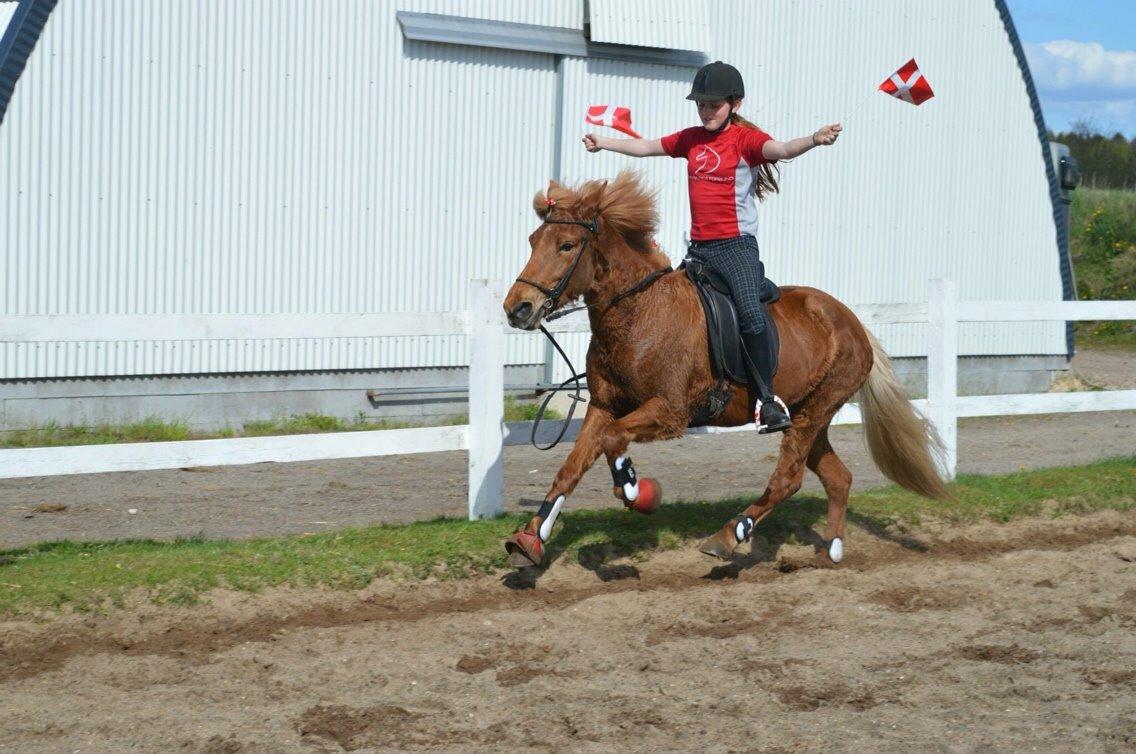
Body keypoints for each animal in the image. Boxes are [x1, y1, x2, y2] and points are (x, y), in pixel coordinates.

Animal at [502, 170, 945, 567]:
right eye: (533, 241)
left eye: (566, 245)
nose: (517, 308)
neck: (638, 312)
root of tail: (854, 323)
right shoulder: (603, 406)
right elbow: (569, 469)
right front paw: (530, 539)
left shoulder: (670, 412)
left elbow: (614, 442)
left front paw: (633, 489)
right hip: (809, 414)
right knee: (838, 478)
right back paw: (829, 551)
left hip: (815, 412)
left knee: (788, 479)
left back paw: (730, 535)